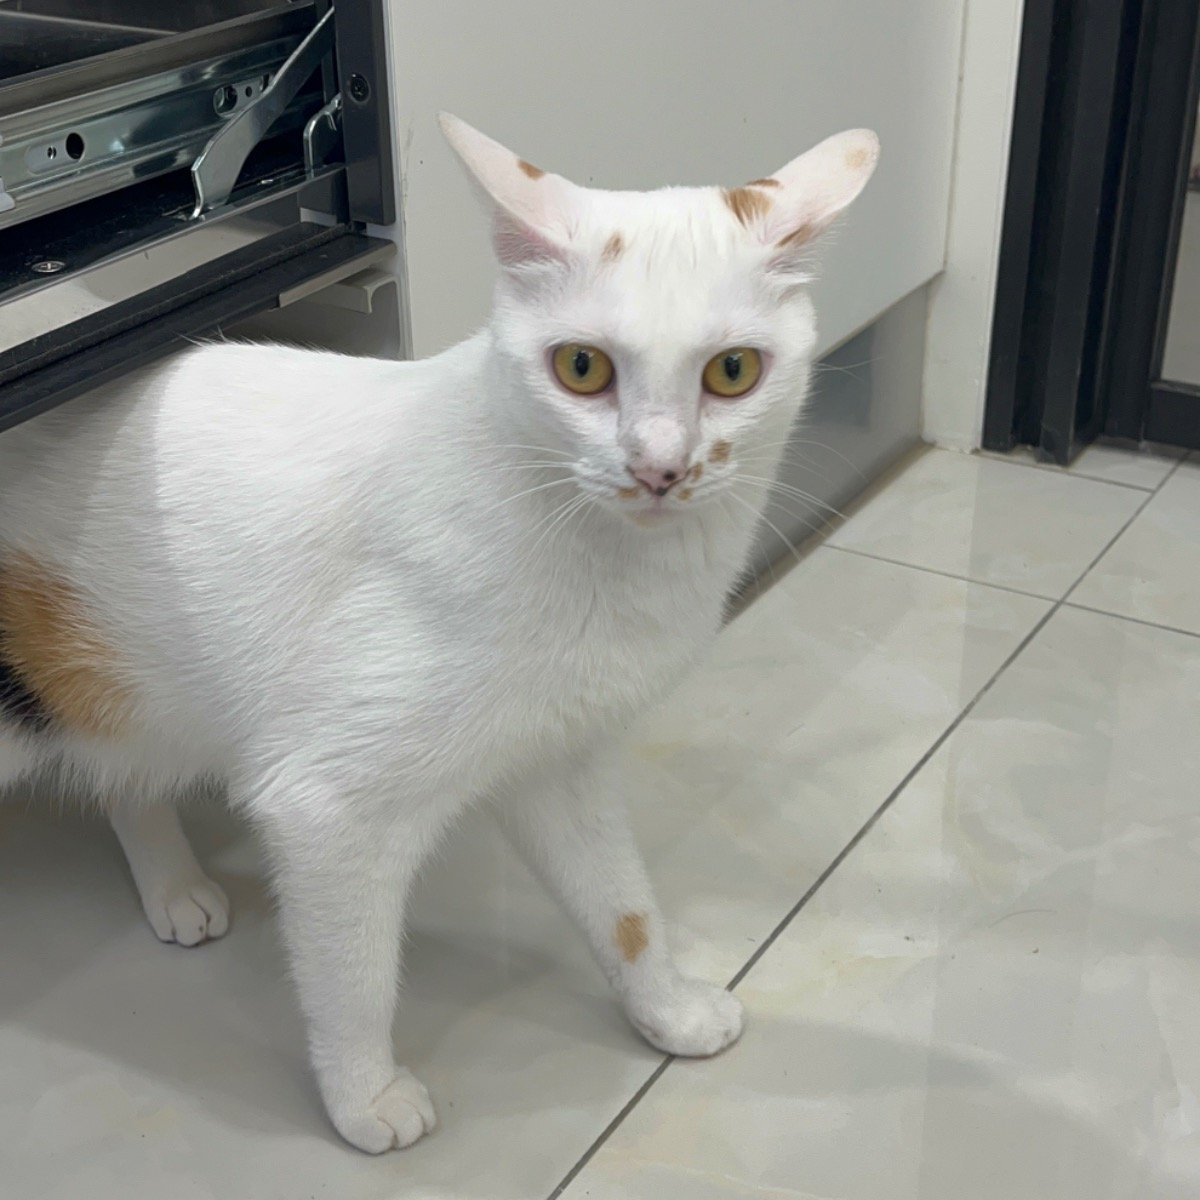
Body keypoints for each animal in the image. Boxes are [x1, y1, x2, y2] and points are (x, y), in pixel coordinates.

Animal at [0, 114, 877, 1152]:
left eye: (732, 371)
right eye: (581, 367)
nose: (659, 468)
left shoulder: (558, 761)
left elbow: (623, 907)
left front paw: (665, 1008)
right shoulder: (329, 809)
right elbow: (355, 977)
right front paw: (364, 1098)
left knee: (122, 764)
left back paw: (171, 885)